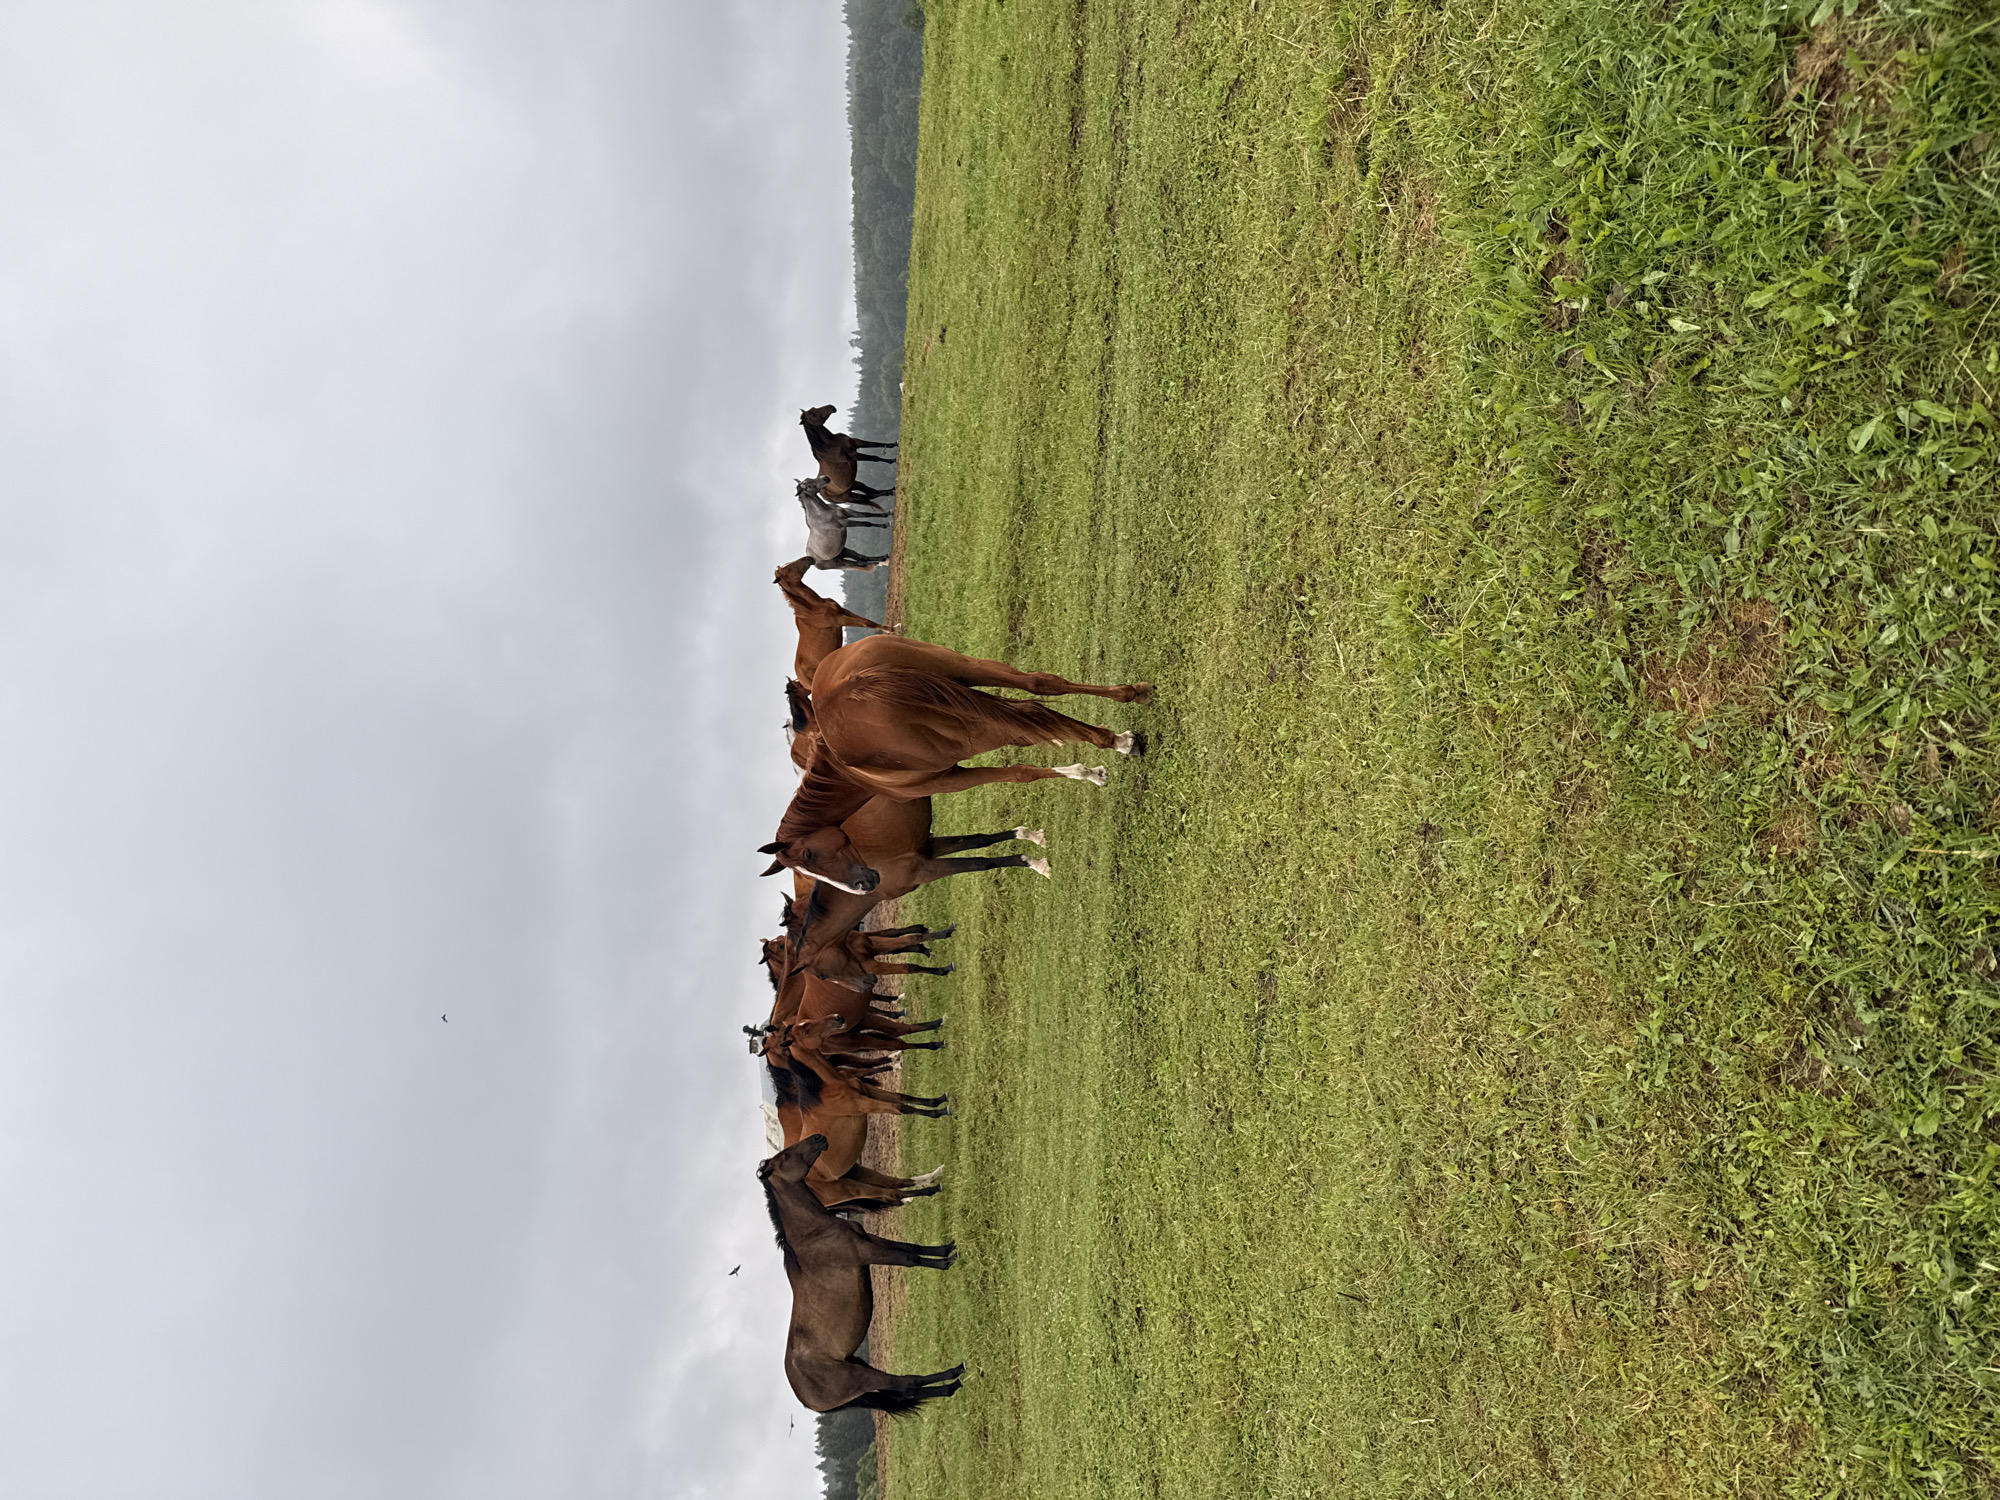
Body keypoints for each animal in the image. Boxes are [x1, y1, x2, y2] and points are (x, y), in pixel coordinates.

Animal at [760, 632, 1149, 886]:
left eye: (809, 856)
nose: (865, 885)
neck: (846, 773)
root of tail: (849, 687)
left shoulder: (950, 777)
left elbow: (1020, 773)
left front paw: (1091, 771)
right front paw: (1090, 769)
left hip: (971, 731)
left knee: (1031, 713)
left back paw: (1115, 742)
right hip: (965, 671)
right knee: (1039, 686)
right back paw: (1129, 701)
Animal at [761, 1135, 963, 1413]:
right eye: (786, 1157)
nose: (818, 1138)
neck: (813, 1235)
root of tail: (806, 1399)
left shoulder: (870, 1240)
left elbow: (912, 1248)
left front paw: (947, 1249)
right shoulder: (867, 1252)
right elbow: (909, 1259)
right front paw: (948, 1262)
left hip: (858, 1365)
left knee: (905, 1389)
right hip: (861, 1378)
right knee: (906, 1383)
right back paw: (955, 1375)